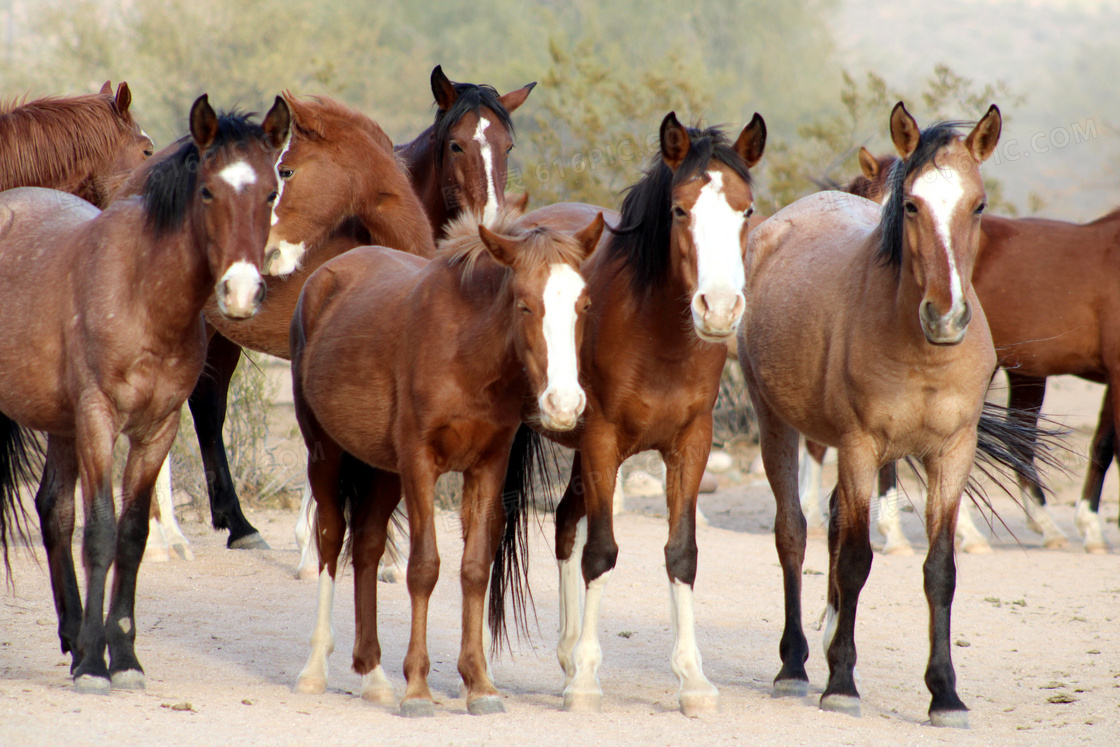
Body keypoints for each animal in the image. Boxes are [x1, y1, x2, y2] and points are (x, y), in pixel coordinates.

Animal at [0, 95, 291, 694]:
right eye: (208, 191)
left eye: (271, 192)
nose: (240, 292)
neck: (143, 295)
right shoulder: (98, 421)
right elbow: (101, 534)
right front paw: (95, 665)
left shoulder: (158, 429)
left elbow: (131, 537)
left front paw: (122, 655)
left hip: (61, 426)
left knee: (54, 510)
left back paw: (72, 635)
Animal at [288, 207, 604, 716]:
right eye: (524, 305)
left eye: (585, 305)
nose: (564, 403)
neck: (467, 355)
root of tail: (325, 274)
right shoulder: (420, 464)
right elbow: (424, 568)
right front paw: (418, 688)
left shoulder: (487, 466)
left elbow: (474, 568)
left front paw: (479, 684)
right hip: (325, 452)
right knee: (332, 539)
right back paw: (316, 669)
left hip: (384, 471)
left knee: (367, 546)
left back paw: (373, 674)